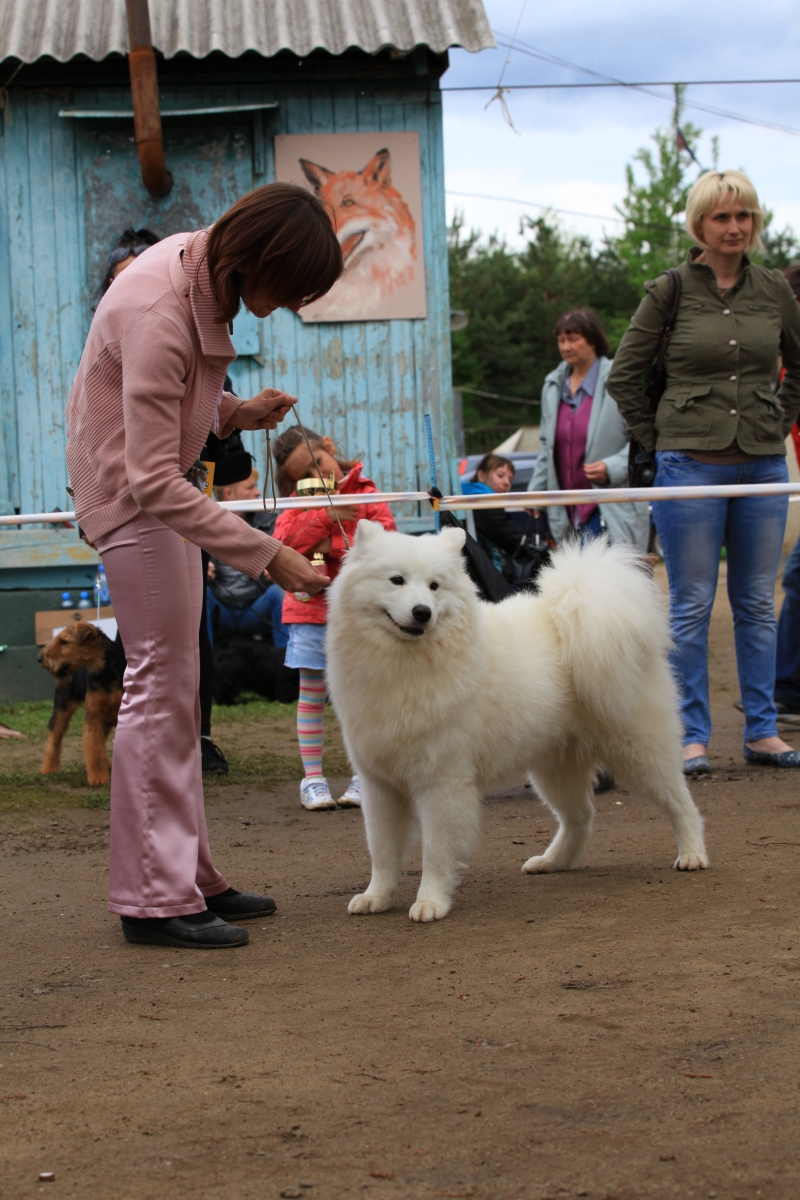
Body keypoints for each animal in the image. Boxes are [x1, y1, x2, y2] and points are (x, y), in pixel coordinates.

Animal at [38, 624, 125, 782]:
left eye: (64, 641)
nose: (40, 658)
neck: (106, 673)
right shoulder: (93, 715)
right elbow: (93, 747)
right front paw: (98, 777)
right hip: (61, 711)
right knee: (54, 740)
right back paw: (49, 769)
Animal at [326, 520, 705, 921]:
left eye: (434, 586)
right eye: (396, 580)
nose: (422, 612)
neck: (404, 665)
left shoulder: (442, 783)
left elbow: (436, 851)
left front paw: (430, 902)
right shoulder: (379, 785)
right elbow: (382, 850)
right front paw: (376, 897)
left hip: (638, 749)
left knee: (680, 802)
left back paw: (692, 854)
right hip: (555, 768)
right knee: (580, 817)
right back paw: (552, 861)